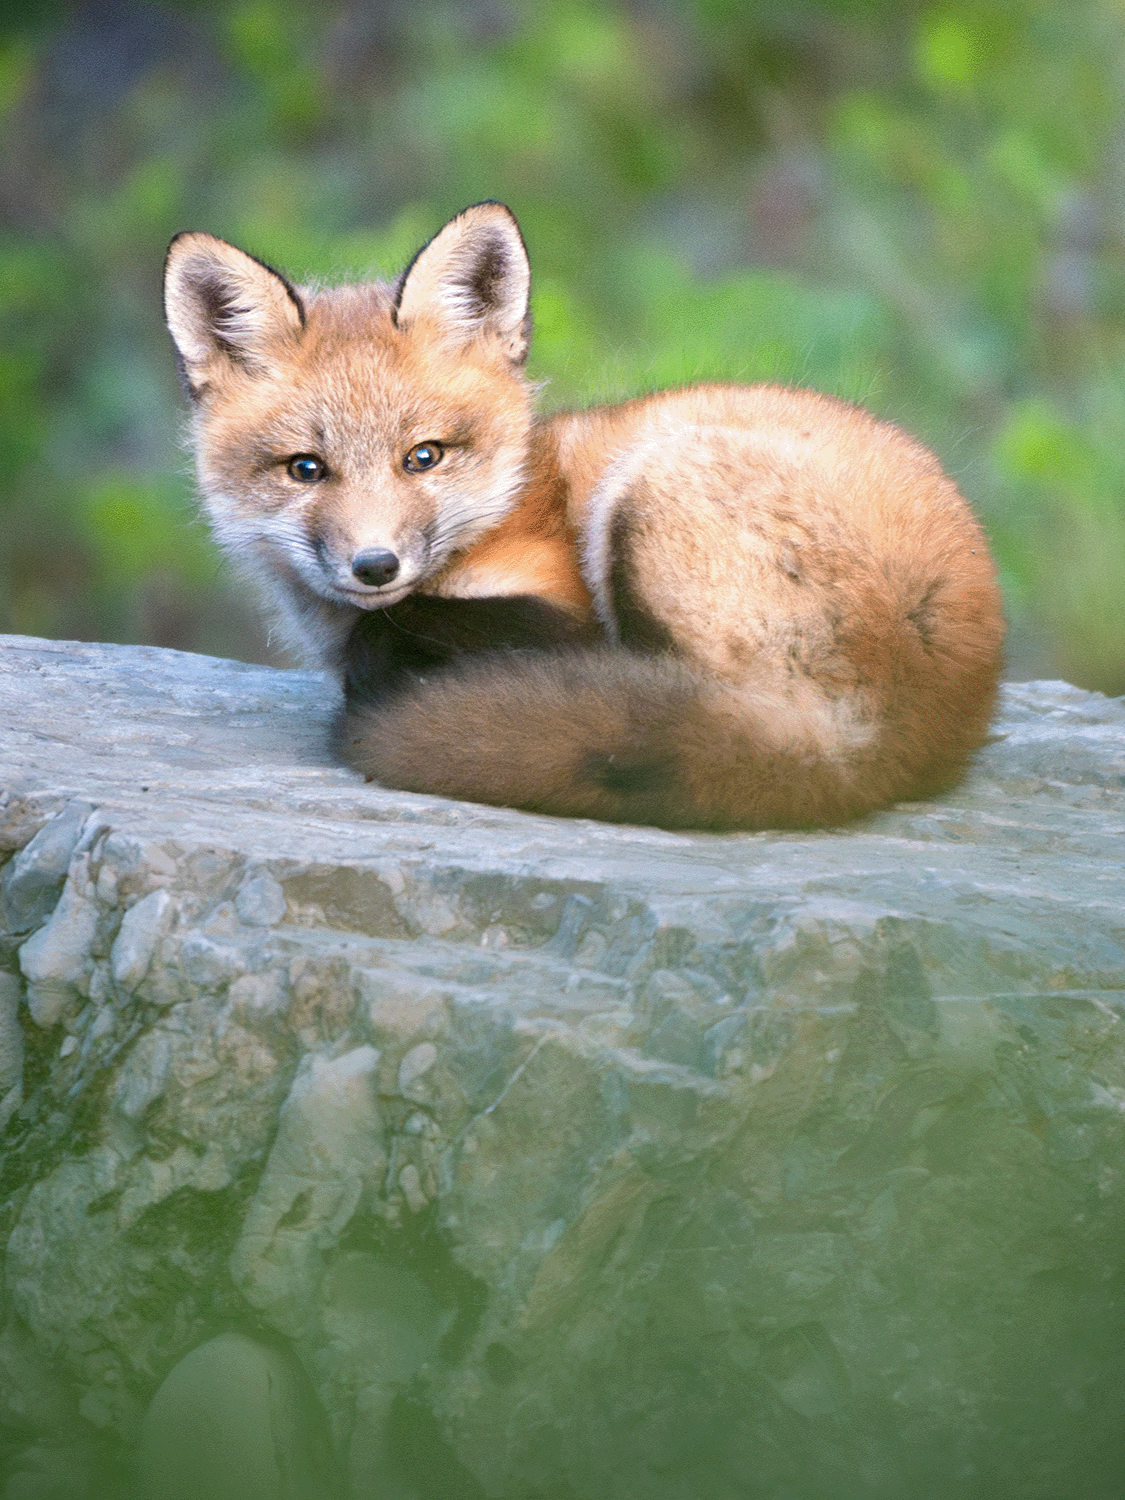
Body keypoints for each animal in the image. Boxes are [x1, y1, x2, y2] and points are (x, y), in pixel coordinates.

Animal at [163, 201, 1005, 831]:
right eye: (306, 469)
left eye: (423, 456)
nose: (375, 566)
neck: (506, 503)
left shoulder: (559, 606)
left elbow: (387, 637)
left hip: (649, 490)